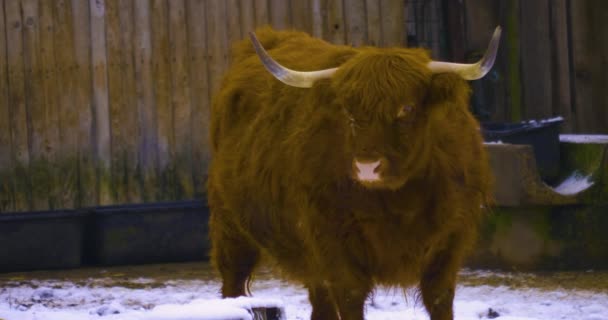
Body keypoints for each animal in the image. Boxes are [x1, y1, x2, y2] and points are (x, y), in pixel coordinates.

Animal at [208, 28, 498, 320]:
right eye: (348, 111)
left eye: (407, 108)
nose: (367, 166)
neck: (398, 202)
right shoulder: (333, 241)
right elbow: (350, 297)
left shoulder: (449, 242)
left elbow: (439, 298)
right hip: (230, 224)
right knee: (233, 278)